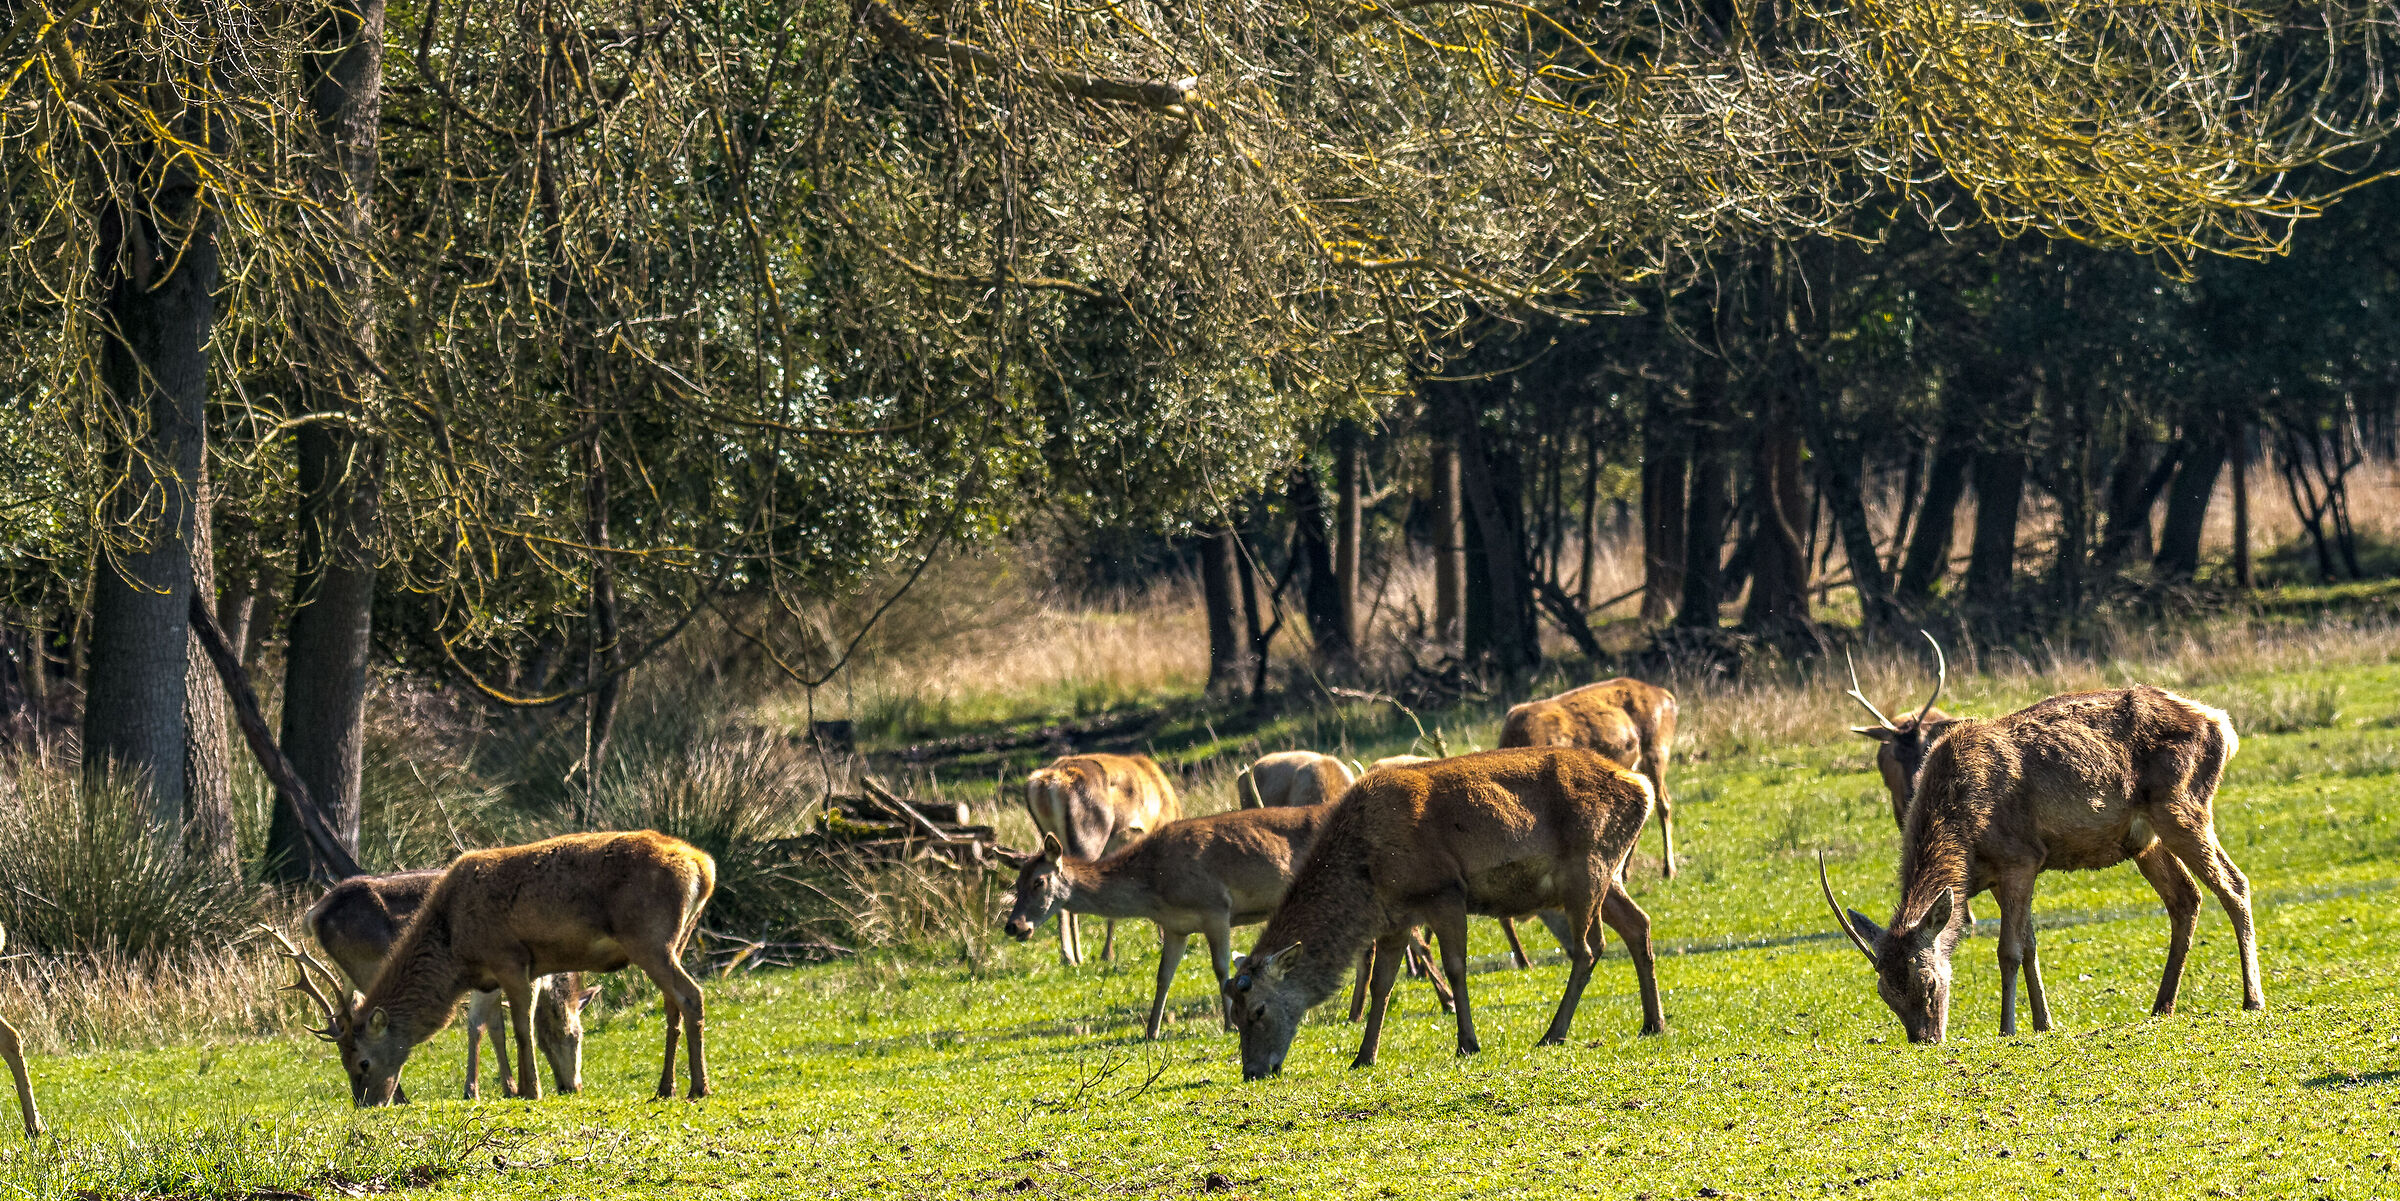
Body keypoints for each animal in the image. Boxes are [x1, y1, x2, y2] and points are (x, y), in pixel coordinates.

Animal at [306, 870, 598, 1100]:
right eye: (575, 1035)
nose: (573, 1087)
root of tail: (314, 915)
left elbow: (496, 1027)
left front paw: (510, 1087)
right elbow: (479, 1025)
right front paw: (473, 1090)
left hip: (348, 977)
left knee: (340, 1024)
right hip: (371, 968)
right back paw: (396, 1095)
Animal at [1023, 753, 1181, 965]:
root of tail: (1046, 784)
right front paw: (1109, 954)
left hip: (1048, 838)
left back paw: (1067, 956)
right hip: (1088, 840)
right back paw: (1076, 956)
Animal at [1223, 748, 1665, 1080]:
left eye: (1258, 1010)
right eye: (1236, 1017)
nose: (1253, 1071)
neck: (1369, 874)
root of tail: (1640, 786)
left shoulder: (1444, 892)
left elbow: (1455, 967)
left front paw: (1467, 1043)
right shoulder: (1396, 917)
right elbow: (1382, 984)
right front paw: (1364, 1055)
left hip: (1586, 866)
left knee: (1590, 947)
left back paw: (1554, 1033)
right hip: (1604, 874)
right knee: (1637, 925)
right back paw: (1652, 1022)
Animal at [1819, 656, 2264, 1044]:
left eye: (1927, 982)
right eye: (1884, 992)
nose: (1925, 1039)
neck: (1965, 835)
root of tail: (2223, 725)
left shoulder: (2021, 858)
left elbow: (2009, 950)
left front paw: (2008, 1027)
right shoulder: (2000, 876)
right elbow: (2030, 944)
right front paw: (2043, 1022)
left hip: (2182, 806)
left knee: (2234, 884)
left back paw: (2252, 999)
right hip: (2145, 839)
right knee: (2185, 898)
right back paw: (2162, 1005)